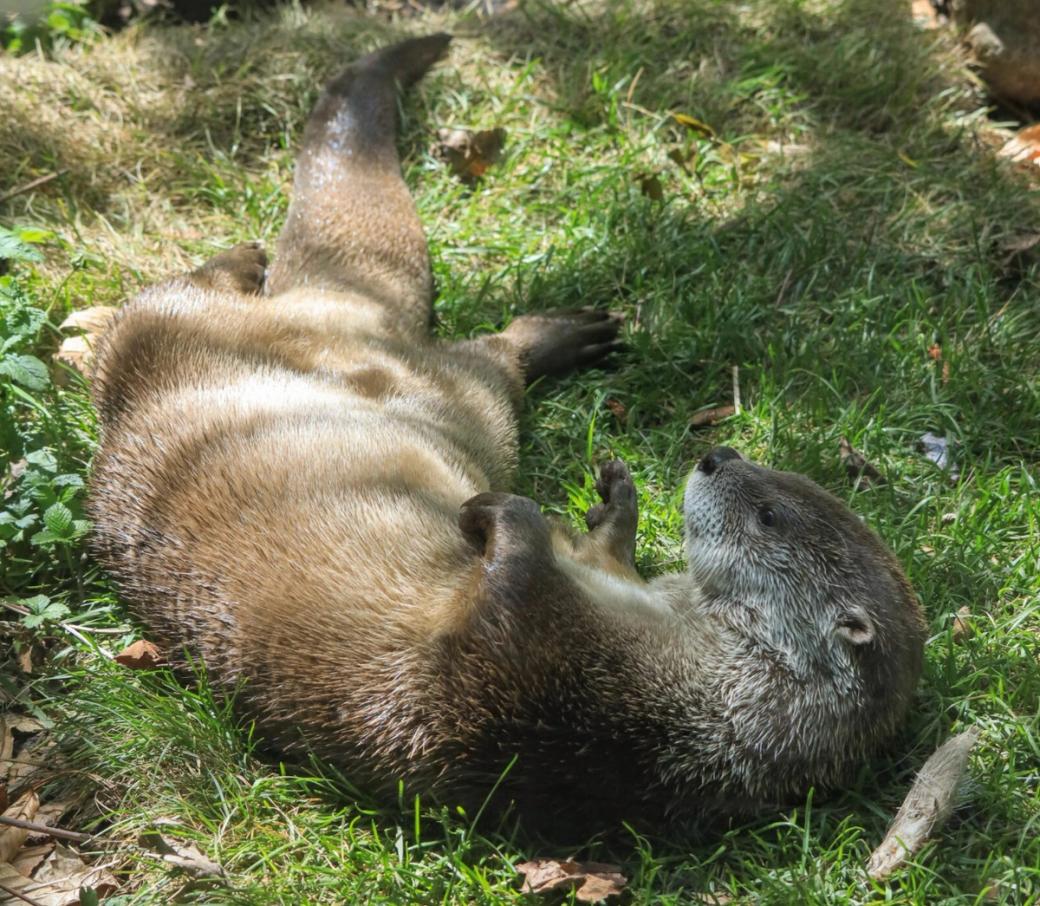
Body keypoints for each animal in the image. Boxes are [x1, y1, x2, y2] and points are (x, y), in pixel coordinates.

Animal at [88, 34, 926, 835]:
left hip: (458, 396)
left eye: (769, 514)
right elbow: (600, 548)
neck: (681, 694)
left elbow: (501, 593)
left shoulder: (524, 689)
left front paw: (501, 514)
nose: (717, 456)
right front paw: (612, 500)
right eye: (778, 476)